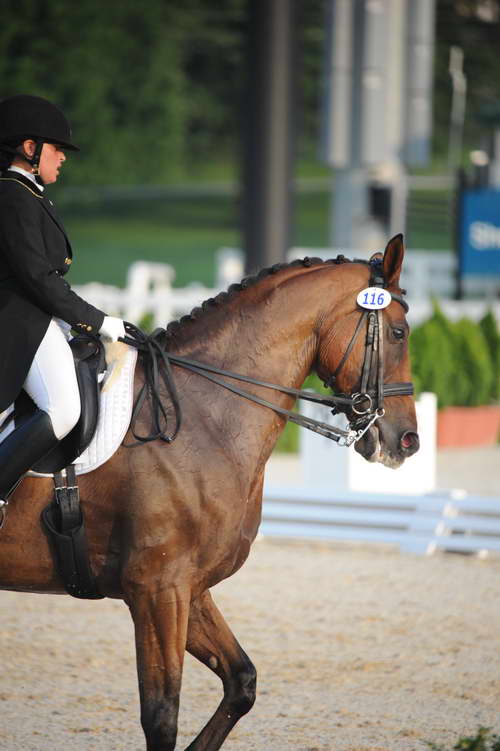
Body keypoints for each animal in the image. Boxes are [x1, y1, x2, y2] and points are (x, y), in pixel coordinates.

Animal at [0, 234, 418, 750]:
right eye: (398, 333)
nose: (407, 440)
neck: (205, 416)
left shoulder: (189, 588)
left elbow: (241, 681)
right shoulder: (157, 591)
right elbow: (162, 717)